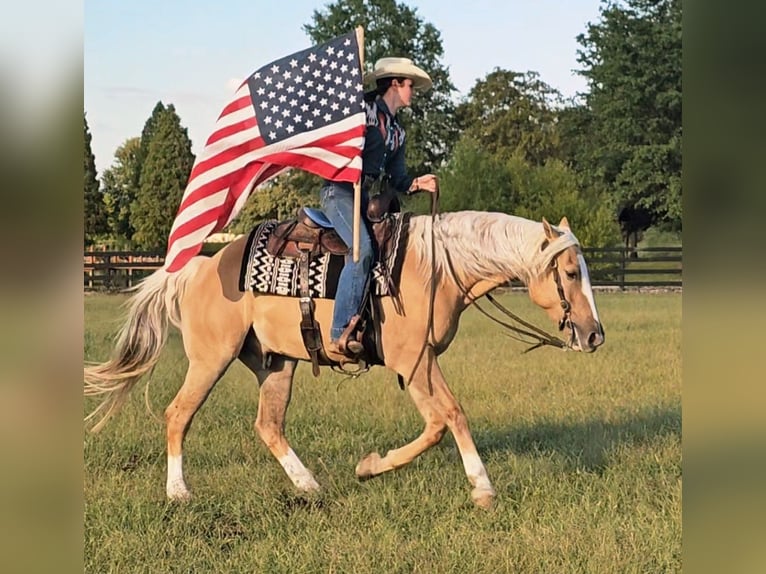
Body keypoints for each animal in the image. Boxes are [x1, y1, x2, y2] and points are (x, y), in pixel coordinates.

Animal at [84, 210, 604, 509]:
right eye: (570, 272)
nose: (595, 334)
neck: (434, 267)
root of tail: (201, 267)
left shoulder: (421, 362)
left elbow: (448, 418)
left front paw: (476, 485)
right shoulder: (413, 362)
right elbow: (445, 420)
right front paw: (375, 467)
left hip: (276, 363)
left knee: (268, 424)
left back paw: (309, 485)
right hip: (212, 358)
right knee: (178, 414)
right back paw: (178, 492)